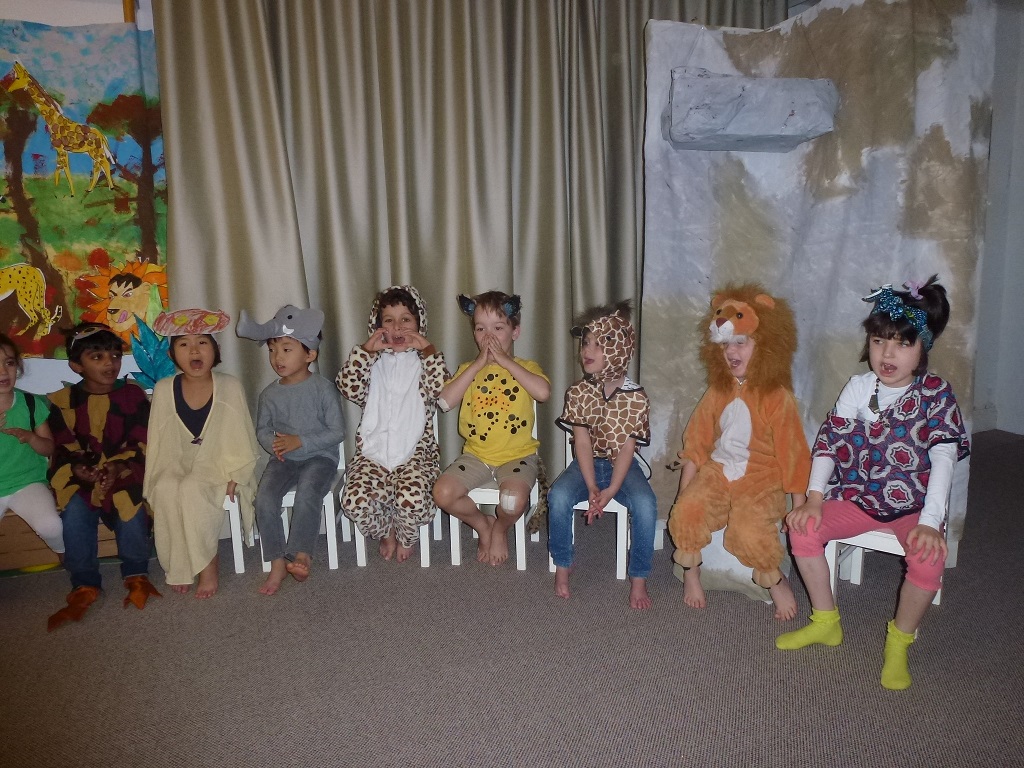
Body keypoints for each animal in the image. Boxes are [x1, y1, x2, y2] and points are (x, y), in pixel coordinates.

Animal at [6, 61, 115, 196]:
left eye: (17, 78)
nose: (9, 89)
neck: (53, 121)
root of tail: (101, 135)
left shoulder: (61, 149)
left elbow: (65, 169)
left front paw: (71, 193)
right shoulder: (59, 150)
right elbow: (59, 168)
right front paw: (56, 189)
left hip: (96, 151)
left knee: (104, 163)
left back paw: (111, 188)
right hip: (93, 152)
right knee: (97, 166)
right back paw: (90, 189)